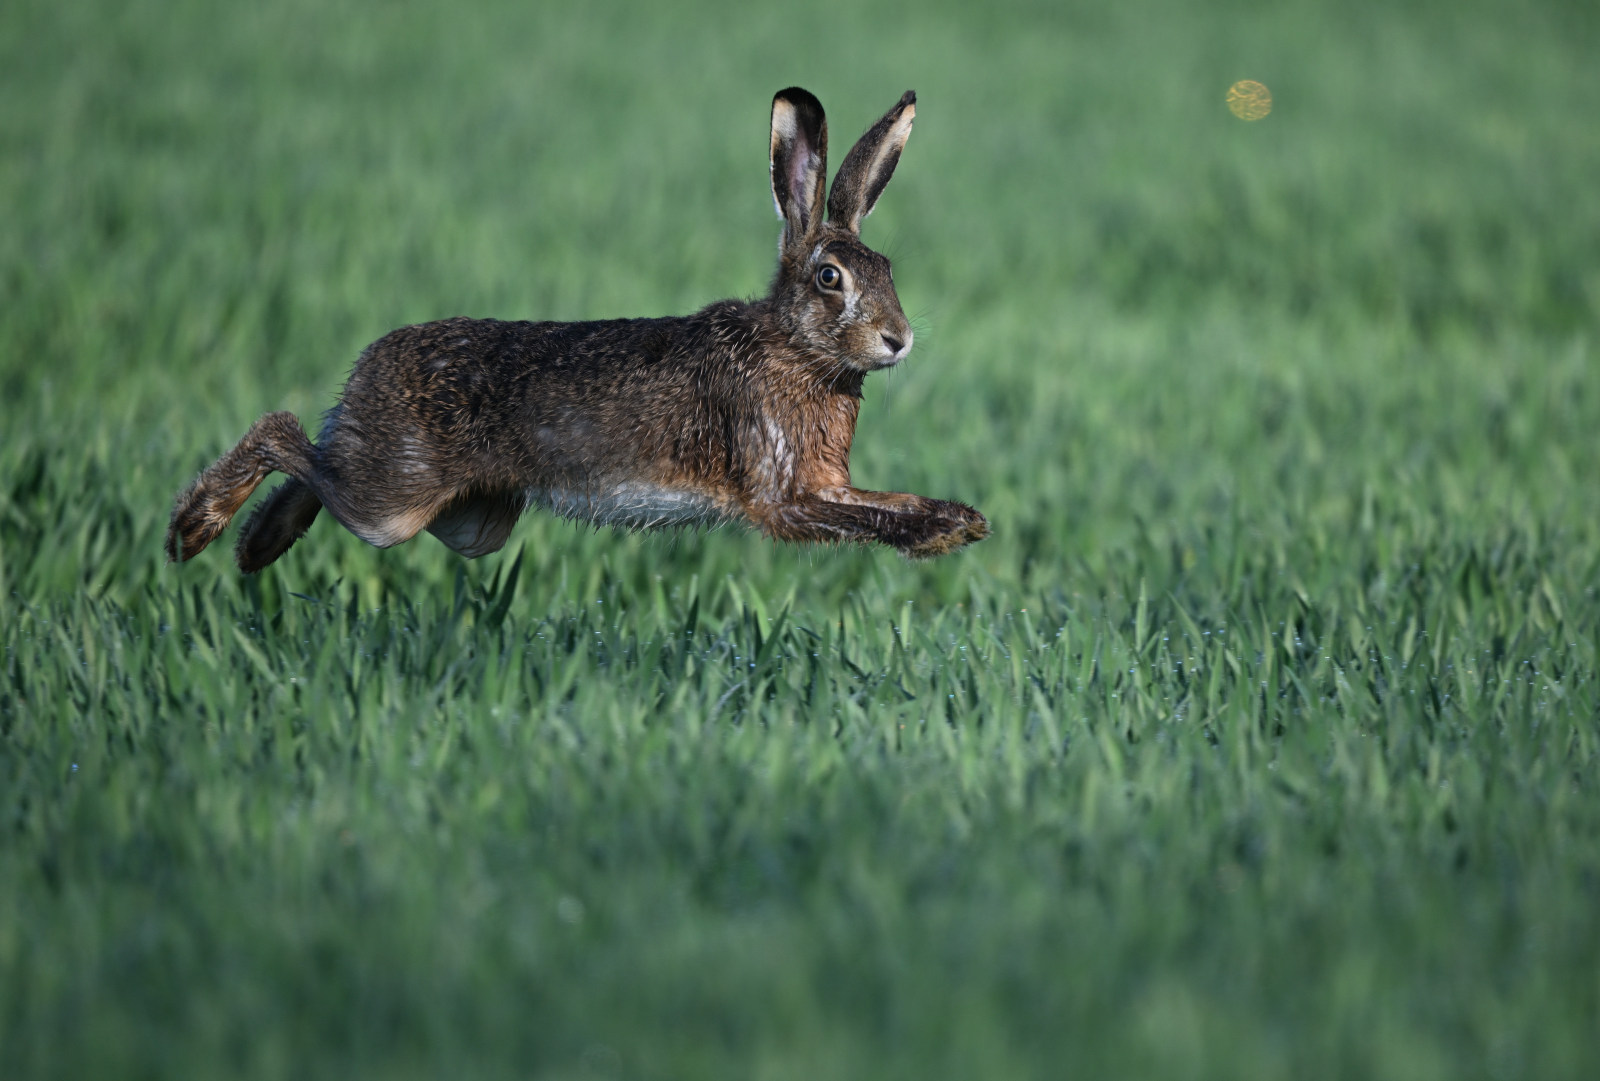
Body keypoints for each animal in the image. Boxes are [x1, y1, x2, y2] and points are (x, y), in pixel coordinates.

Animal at [165, 87, 990, 573]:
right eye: (830, 278)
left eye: (887, 266)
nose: (898, 339)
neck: (795, 350)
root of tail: (362, 372)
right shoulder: (782, 490)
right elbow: (858, 517)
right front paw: (945, 533)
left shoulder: (827, 479)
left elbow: (886, 499)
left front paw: (961, 520)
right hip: (391, 503)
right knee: (282, 433)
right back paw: (196, 529)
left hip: (473, 521)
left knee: (315, 461)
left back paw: (257, 543)